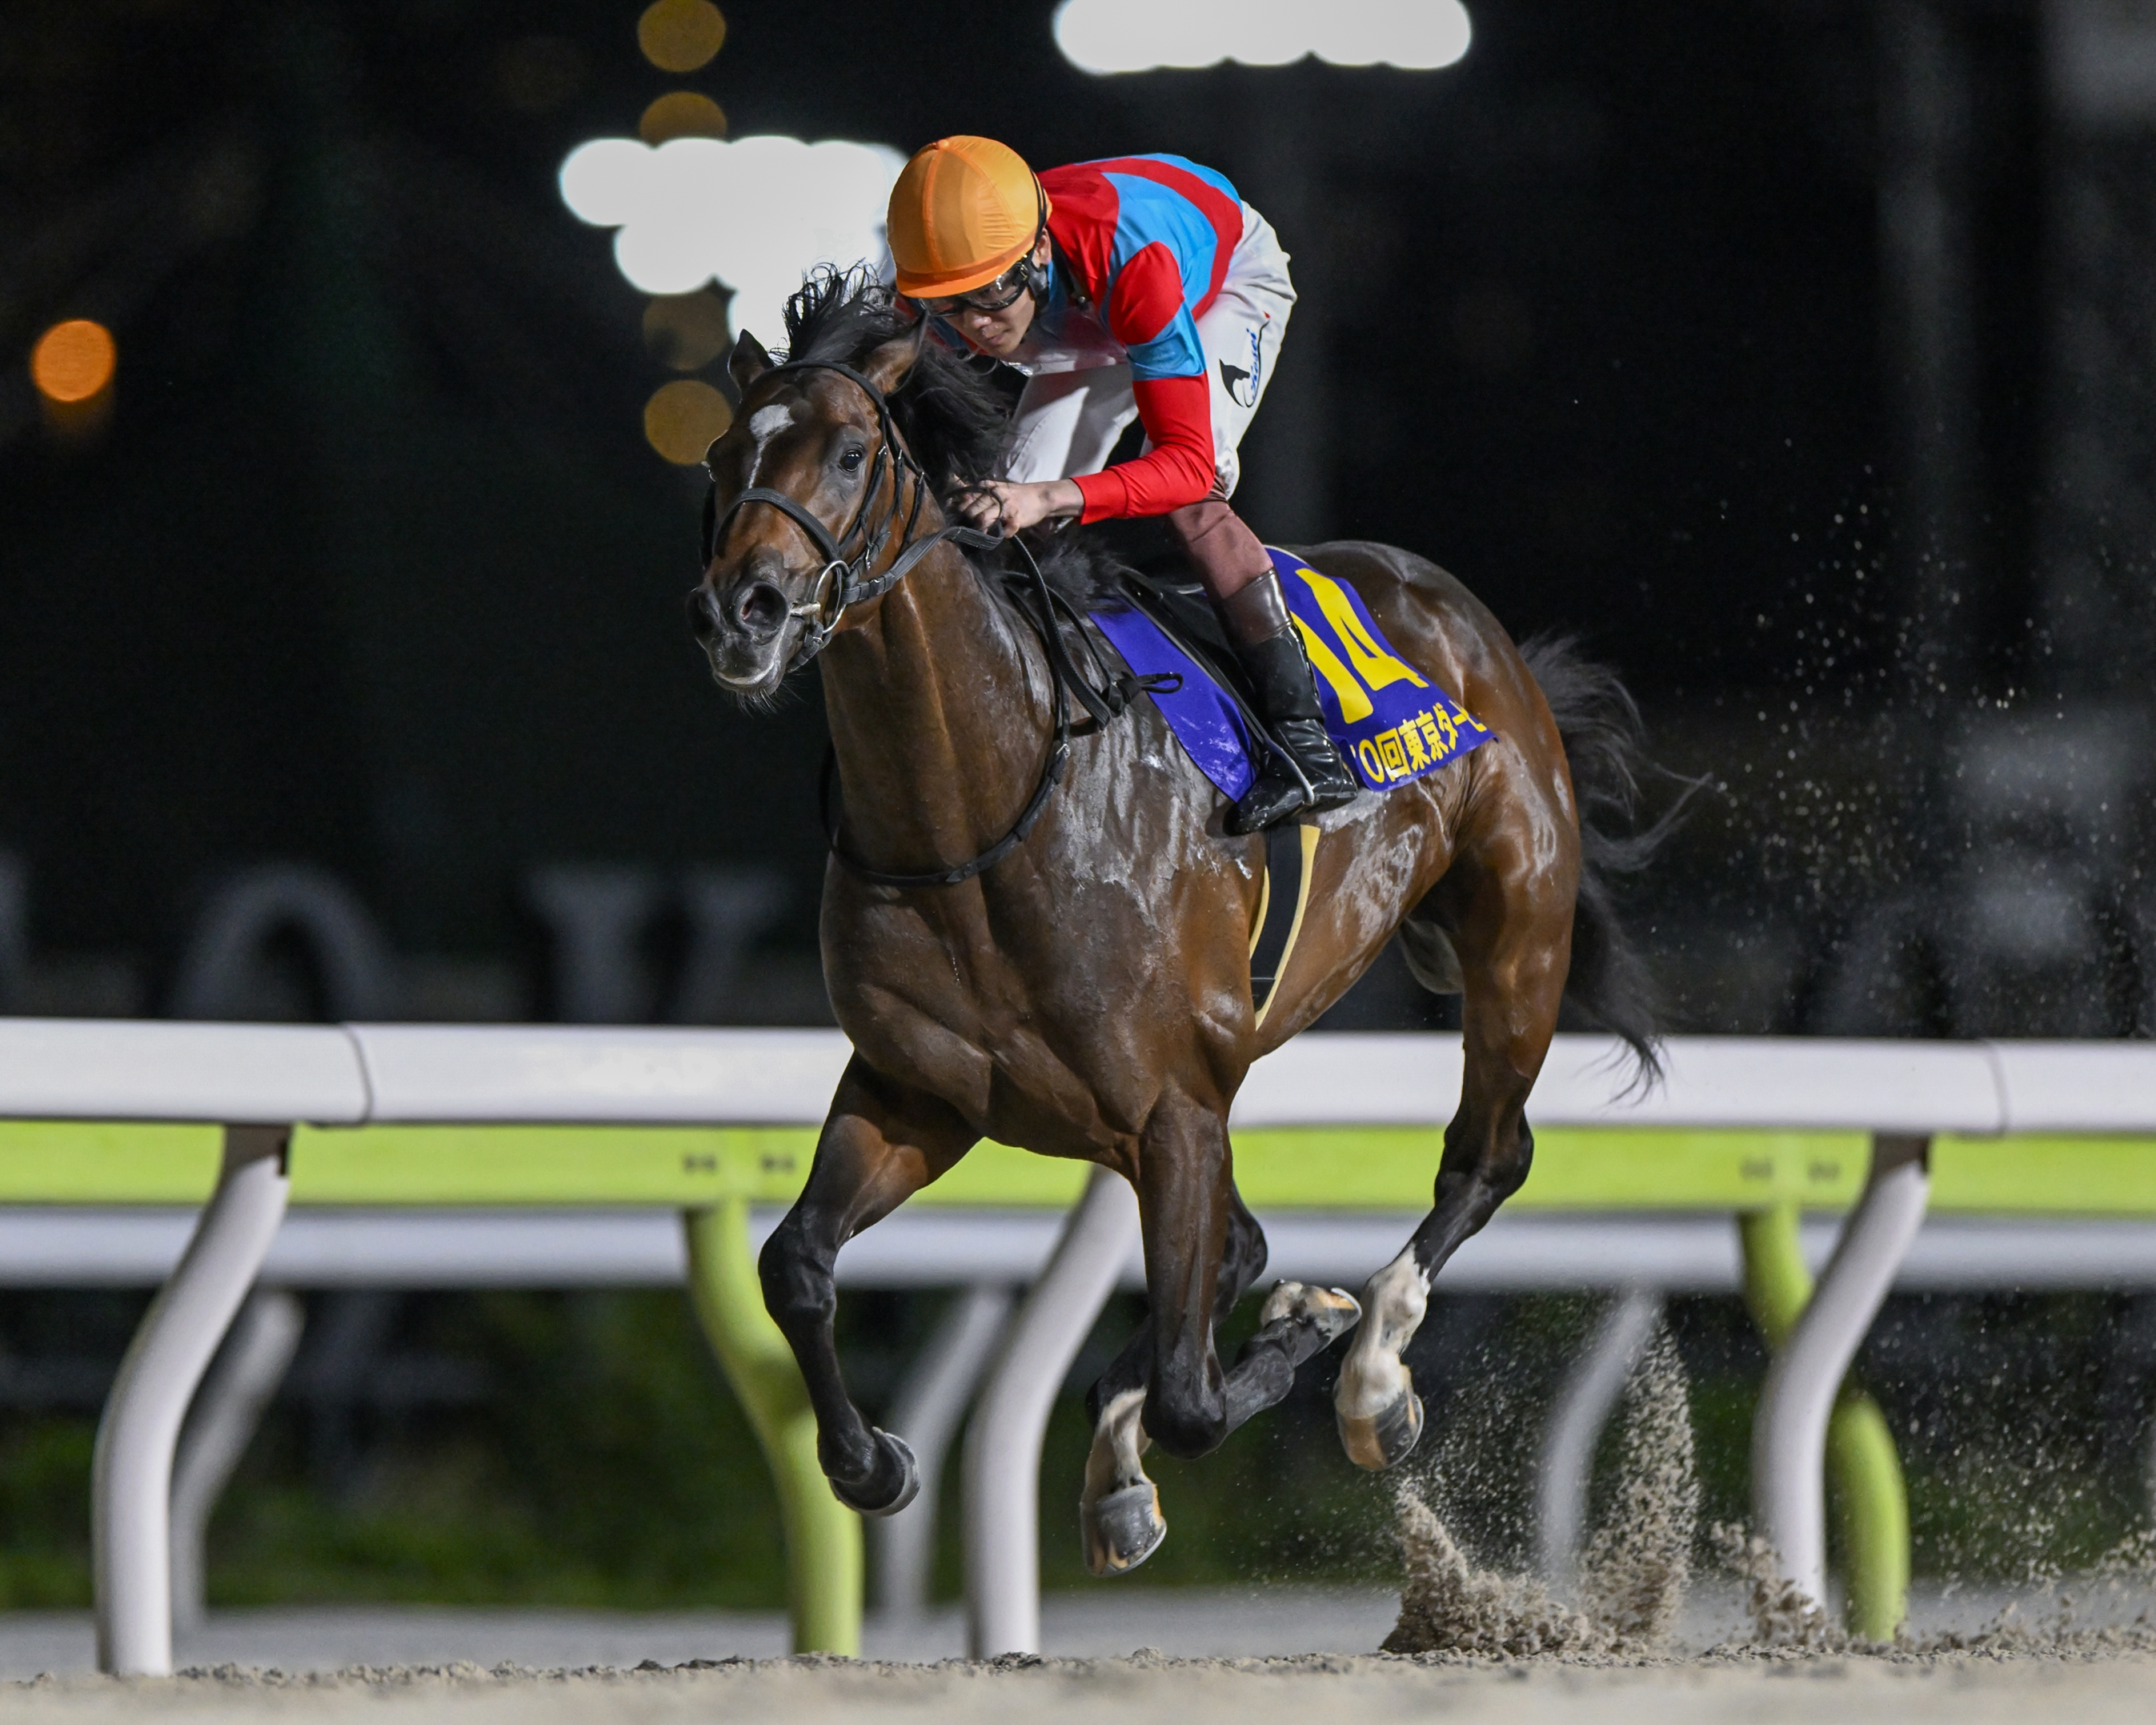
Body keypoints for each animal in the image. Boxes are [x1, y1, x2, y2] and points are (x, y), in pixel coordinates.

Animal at [686, 269, 1669, 1576]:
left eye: (849, 452)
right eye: (717, 458)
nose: (740, 611)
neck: (983, 810)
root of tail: (1464, 618)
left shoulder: (1176, 1107)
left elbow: (1196, 1396)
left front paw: (1312, 1337)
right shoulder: (923, 1090)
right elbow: (792, 1263)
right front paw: (873, 1461)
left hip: (1516, 938)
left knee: (1485, 1156)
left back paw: (1371, 1371)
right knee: (1237, 1248)